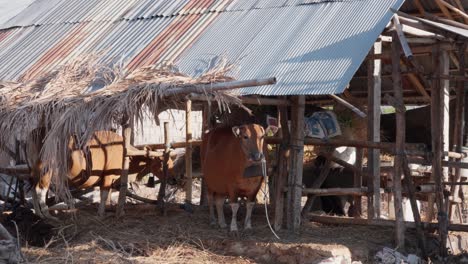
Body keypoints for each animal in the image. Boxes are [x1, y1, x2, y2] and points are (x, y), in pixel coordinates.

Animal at [27, 129, 174, 220]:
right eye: (162, 161)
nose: (174, 178)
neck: (126, 153)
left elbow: (113, 195)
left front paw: (116, 210)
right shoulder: (108, 176)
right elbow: (104, 195)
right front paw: (102, 213)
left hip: (35, 172)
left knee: (33, 190)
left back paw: (39, 213)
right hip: (47, 170)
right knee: (40, 190)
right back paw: (48, 215)